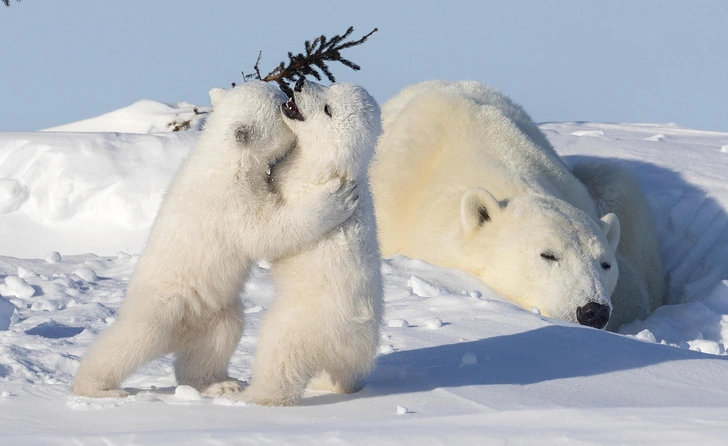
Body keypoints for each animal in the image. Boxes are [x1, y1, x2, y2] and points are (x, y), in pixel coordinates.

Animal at [73, 82, 358, 398]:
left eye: (278, 94)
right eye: (278, 103)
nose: (288, 95)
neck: (224, 161)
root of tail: (179, 333)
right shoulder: (231, 202)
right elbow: (266, 232)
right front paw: (338, 198)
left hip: (212, 311)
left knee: (218, 338)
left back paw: (220, 384)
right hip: (160, 308)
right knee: (131, 340)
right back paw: (96, 387)